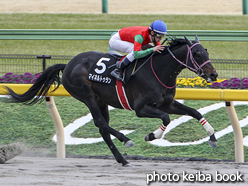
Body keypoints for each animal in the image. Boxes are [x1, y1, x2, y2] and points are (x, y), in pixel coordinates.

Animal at [5, 35, 217, 166]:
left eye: (206, 51)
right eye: (197, 53)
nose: (214, 74)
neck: (158, 71)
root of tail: (68, 64)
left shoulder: (168, 103)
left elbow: (195, 112)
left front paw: (212, 137)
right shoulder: (141, 108)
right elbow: (166, 118)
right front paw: (151, 136)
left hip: (101, 100)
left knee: (103, 128)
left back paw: (122, 159)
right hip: (87, 96)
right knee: (100, 123)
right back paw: (126, 139)